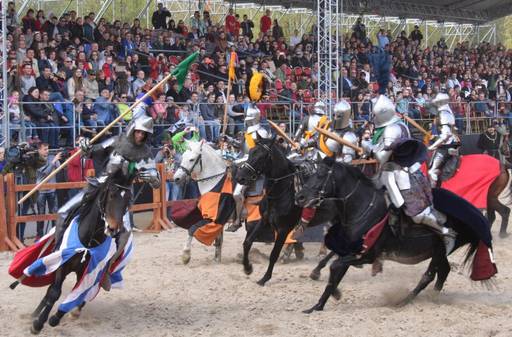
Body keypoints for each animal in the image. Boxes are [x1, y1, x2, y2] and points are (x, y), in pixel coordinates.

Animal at [28, 176, 133, 334]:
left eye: (127, 199)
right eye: (111, 195)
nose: (114, 229)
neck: (88, 242)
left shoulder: (91, 272)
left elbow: (79, 295)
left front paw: (58, 317)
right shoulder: (62, 265)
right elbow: (54, 292)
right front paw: (38, 324)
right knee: (50, 290)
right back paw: (34, 314)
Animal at [235, 138, 332, 284]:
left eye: (261, 157)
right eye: (251, 152)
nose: (240, 177)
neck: (281, 192)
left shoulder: (283, 229)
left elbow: (274, 254)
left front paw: (265, 278)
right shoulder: (265, 220)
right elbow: (247, 242)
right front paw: (247, 268)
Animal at [294, 159, 498, 314]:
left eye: (321, 175)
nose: (300, 197)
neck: (364, 208)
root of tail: (476, 214)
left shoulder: (366, 255)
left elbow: (335, 266)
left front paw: (329, 297)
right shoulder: (350, 252)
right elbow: (335, 272)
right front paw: (318, 305)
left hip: (440, 250)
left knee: (429, 275)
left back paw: (404, 301)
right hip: (439, 253)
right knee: (443, 271)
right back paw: (431, 297)